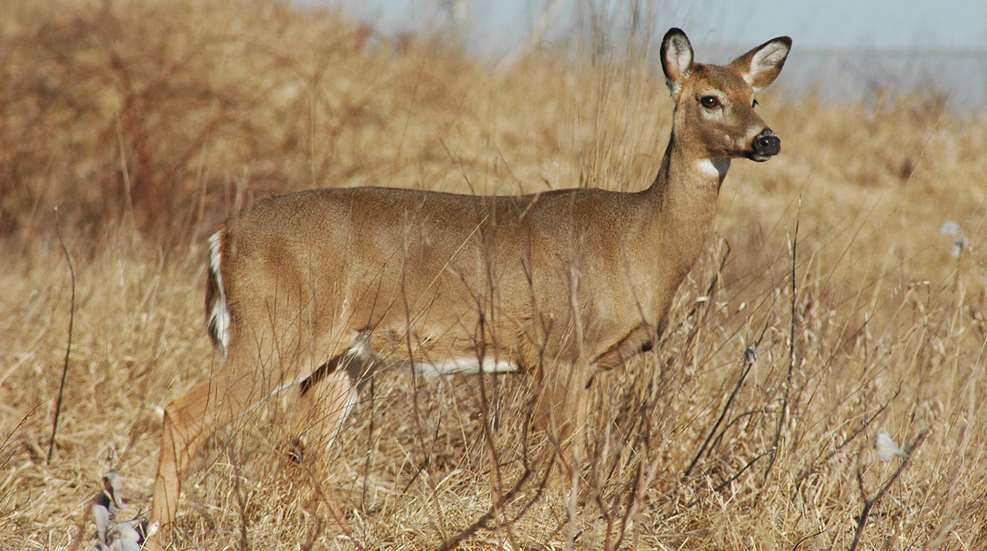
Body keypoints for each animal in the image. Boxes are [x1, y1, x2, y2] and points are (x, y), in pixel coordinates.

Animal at [145, 27, 791, 542]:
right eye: (709, 99)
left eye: (755, 97)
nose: (767, 140)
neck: (638, 241)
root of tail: (222, 238)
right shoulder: (558, 349)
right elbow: (559, 461)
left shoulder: (587, 364)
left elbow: (573, 457)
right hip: (276, 328)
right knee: (185, 414)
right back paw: (159, 532)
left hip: (344, 354)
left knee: (301, 445)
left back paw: (348, 534)